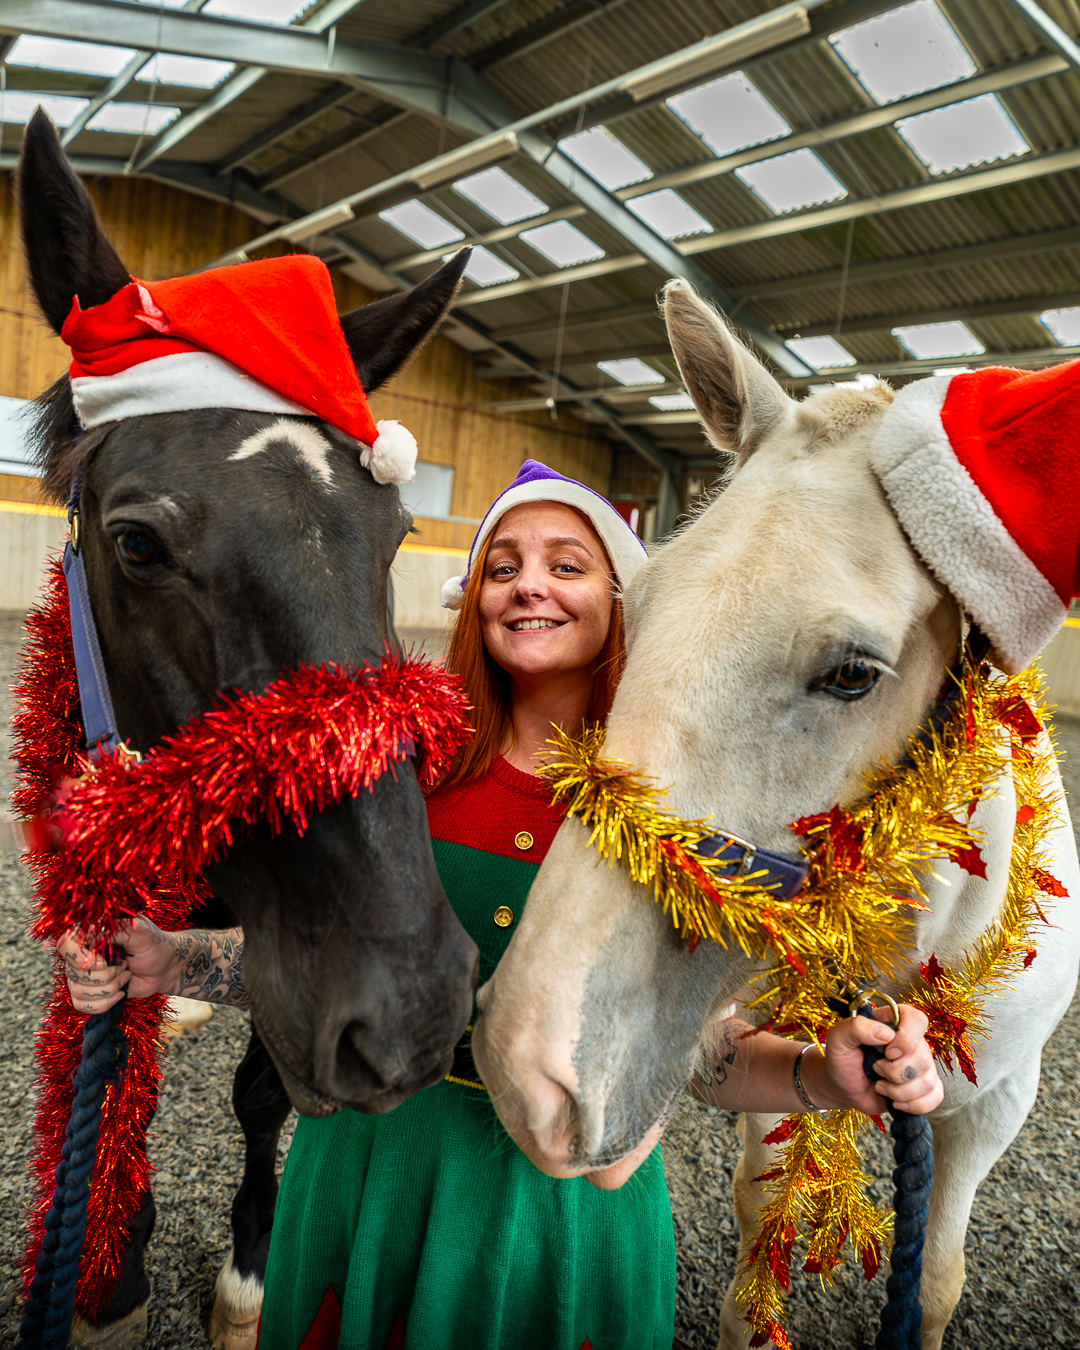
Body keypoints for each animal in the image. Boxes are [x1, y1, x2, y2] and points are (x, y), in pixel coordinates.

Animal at [16, 110, 477, 1344]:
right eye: (136, 543)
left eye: (396, 532)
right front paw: (110, 1266)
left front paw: (251, 1268)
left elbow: (263, 1086)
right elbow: (109, 1062)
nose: (415, 1013)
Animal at [472, 279, 1080, 1344]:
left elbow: (937, 1281)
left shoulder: (995, 1102)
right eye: (638, 605)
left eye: (853, 674)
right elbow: (763, 1226)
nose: (527, 1065)